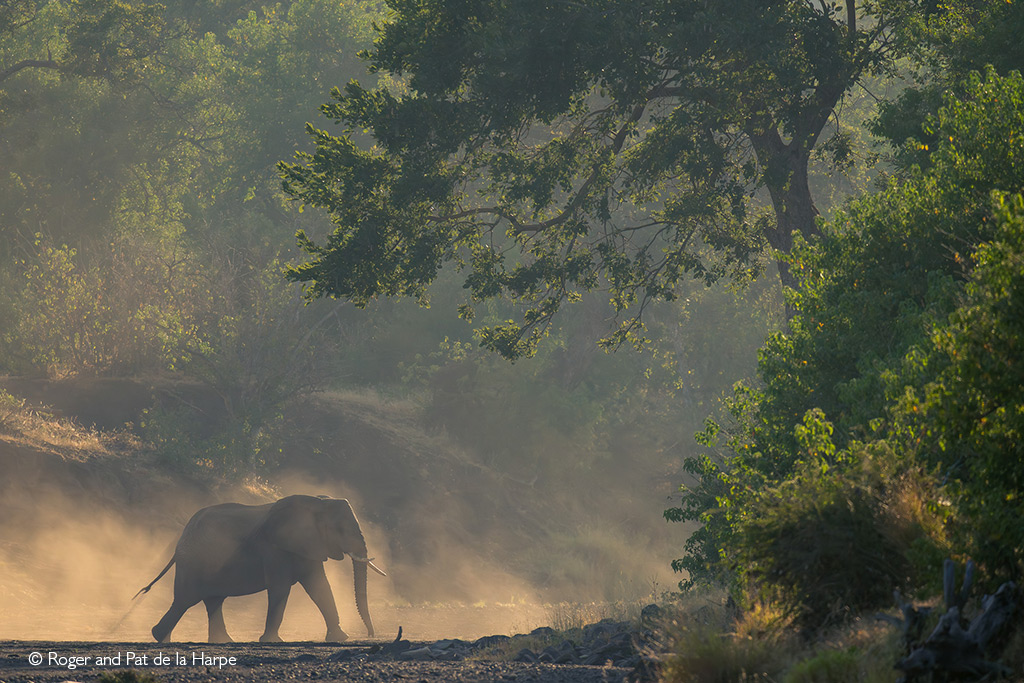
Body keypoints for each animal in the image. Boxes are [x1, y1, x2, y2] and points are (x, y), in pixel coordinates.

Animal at [136, 493, 387, 643]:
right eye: (341, 530)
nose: (370, 635)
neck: (317, 501)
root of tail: (181, 537)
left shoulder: (306, 545)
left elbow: (319, 586)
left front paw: (340, 638)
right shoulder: (274, 548)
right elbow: (280, 588)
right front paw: (272, 641)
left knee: (213, 600)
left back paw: (222, 641)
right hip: (194, 562)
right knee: (186, 600)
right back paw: (159, 637)